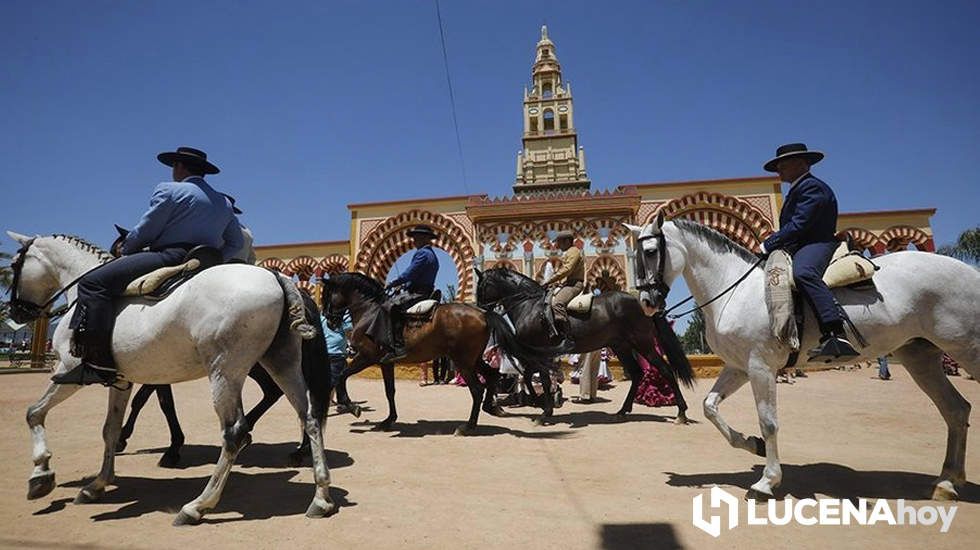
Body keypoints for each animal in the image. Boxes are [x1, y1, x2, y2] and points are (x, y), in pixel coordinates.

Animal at [114, 288, 336, 466]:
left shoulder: (160, 367)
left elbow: (154, 401)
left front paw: (165, 448)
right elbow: (151, 400)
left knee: (292, 396)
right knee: (284, 395)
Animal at [324, 274, 560, 438]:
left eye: (327, 295)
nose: (330, 321)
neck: (370, 313)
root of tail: (484, 313)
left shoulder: (366, 356)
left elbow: (341, 376)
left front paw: (351, 406)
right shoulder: (385, 363)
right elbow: (390, 391)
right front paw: (388, 420)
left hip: (462, 362)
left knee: (477, 389)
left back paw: (468, 426)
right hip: (472, 360)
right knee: (491, 375)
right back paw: (491, 407)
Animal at [470, 266, 692, 422]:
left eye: (481, 287)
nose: (480, 310)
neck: (528, 305)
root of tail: (643, 303)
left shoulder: (539, 350)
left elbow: (539, 377)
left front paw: (544, 409)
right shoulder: (537, 352)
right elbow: (528, 375)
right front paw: (541, 404)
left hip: (642, 342)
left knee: (665, 370)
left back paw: (681, 412)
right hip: (621, 346)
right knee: (637, 373)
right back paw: (623, 410)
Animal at [628, 218, 980, 502]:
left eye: (650, 252)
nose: (646, 301)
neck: (735, 290)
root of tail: (971, 272)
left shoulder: (761, 365)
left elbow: (768, 422)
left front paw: (766, 482)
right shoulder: (740, 366)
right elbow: (710, 406)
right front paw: (752, 444)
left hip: (968, 346)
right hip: (919, 354)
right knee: (955, 409)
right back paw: (947, 483)